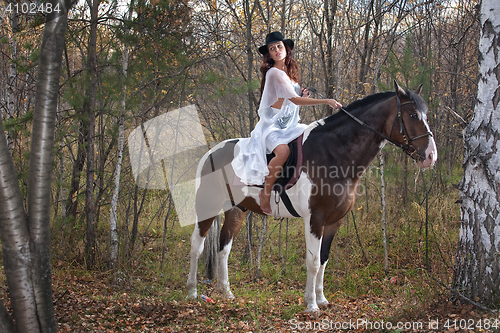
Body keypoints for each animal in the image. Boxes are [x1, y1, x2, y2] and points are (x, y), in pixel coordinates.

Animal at [187, 80, 438, 312]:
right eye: (413, 115)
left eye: (425, 114)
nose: (431, 156)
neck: (334, 153)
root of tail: (211, 152)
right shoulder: (315, 219)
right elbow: (313, 262)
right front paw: (311, 305)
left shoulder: (334, 221)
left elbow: (323, 259)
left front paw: (321, 299)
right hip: (207, 207)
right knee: (197, 246)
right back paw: (192, 292)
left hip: (237, 210)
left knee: (223, 248)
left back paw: (226, 292)